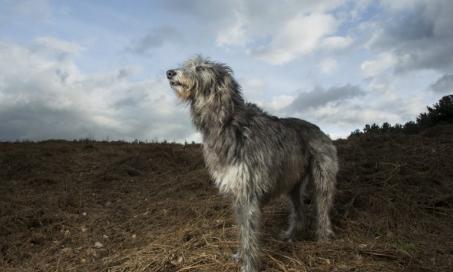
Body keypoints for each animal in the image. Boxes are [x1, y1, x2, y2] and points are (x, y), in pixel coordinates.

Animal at [166, 56, 336, 270]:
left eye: (201, 68)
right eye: (188, 65)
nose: (169, 73)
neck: (226, 122)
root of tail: (319, 130)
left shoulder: (247, 192)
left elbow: (249, 233)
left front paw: (249, 265)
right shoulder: (237, 192)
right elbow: (242, 229)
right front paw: (240, 256)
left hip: (323, 178)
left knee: (323, 208)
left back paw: (323, 239)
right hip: (293, 183)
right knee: (299, 212)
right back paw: (290, 235)